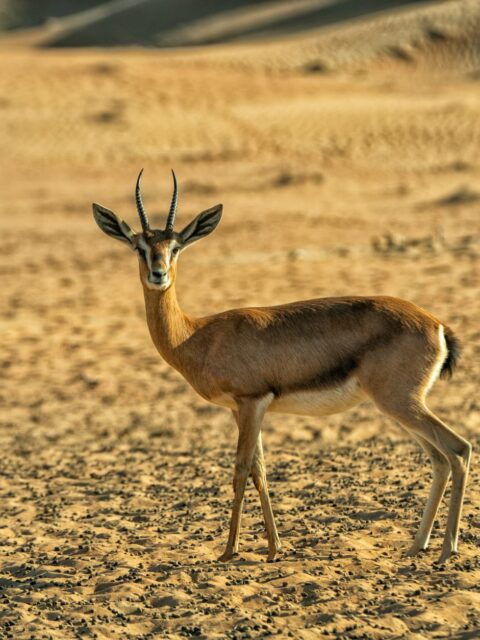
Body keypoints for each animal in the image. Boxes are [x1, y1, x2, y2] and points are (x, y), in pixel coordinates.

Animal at [92, 170, 471, 564]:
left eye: (176, 246)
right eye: (139, 246)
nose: (158, 274)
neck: (195, 335)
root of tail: (436, 324)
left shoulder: (251, 402)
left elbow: (241, 469)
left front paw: (229, 550)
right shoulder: (242, 409)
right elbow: (260, 470)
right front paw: (275, 548)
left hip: (400, 402)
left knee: (458, 450)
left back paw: (447, 550)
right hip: (400, 406)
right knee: (440, 458)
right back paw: (417, 546)